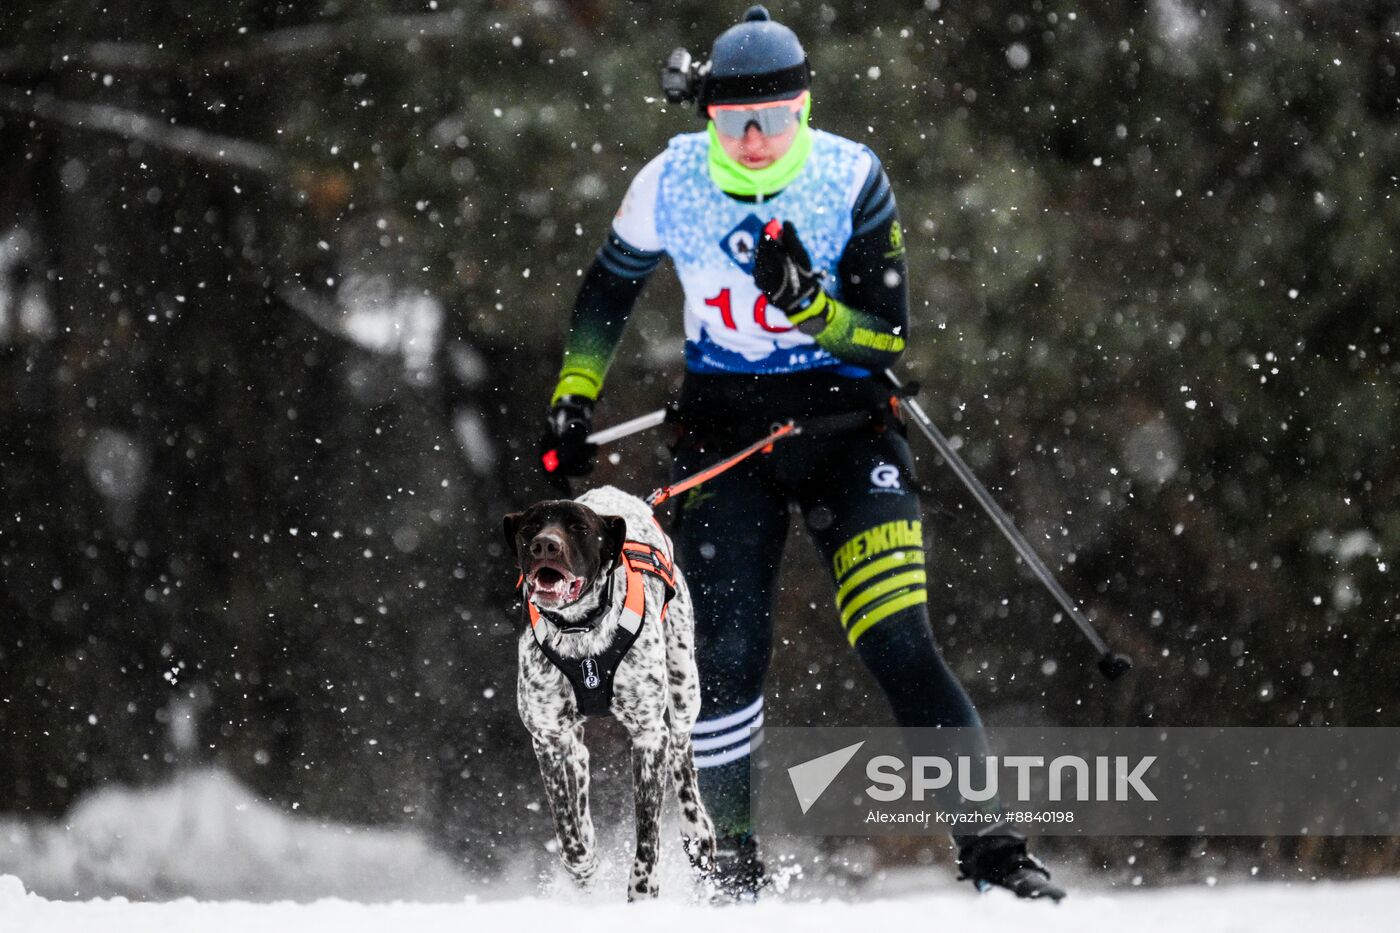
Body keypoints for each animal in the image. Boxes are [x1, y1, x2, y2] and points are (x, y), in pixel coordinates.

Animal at [506, 481, 716, 896]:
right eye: (530, 527)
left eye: (579, 528)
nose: (545, 545)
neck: (579, 633)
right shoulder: (546, 737)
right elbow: (566, 823)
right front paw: (583, 865)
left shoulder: (649, 735)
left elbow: (648, 830)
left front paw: (643, 887)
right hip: (569, 736)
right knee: (580, 764)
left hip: (684, 682)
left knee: (682, 749)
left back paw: (696, 829)